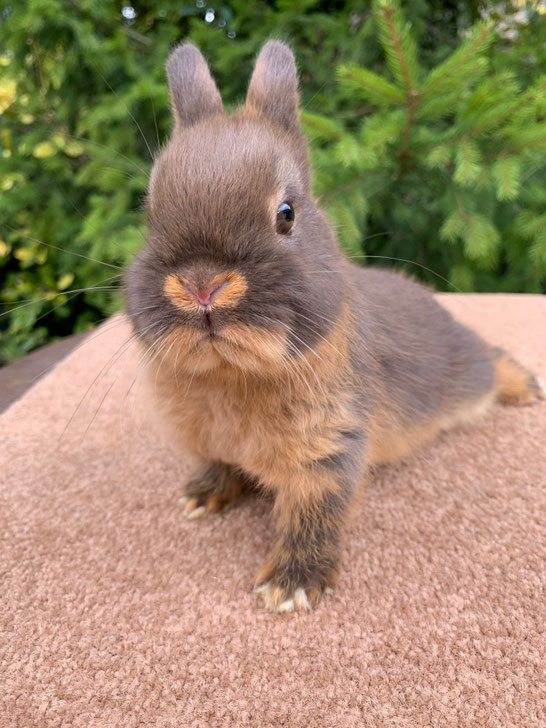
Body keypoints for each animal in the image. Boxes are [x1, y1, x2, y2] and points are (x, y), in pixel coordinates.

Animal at [125, 40, 544, 613]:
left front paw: (292, 587)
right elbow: (220, 465)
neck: (231, 373)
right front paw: (202, 496)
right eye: (149, 213)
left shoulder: (330, 449)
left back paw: (527, 387)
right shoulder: (213, 443)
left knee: (493, 358)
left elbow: (314, 513)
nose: (202, 287)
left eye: (286, 213)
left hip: (467, 375)